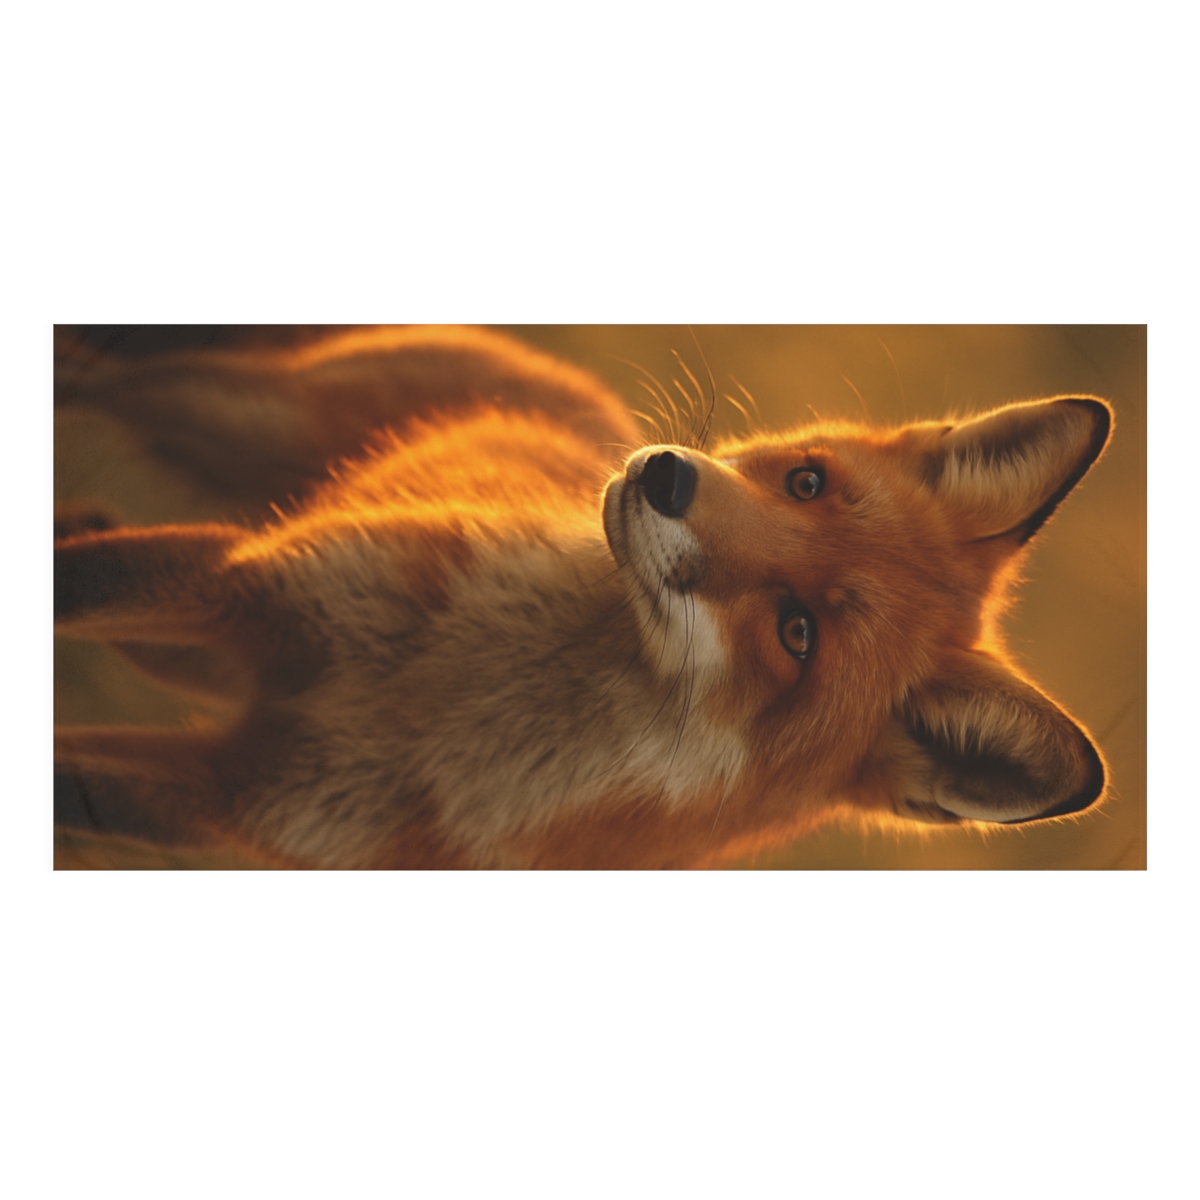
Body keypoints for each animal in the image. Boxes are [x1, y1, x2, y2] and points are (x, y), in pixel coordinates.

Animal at [53, 325, 1112, 868]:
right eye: (807, 482)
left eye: (797, 633)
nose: (663, 478)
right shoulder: (251, 583)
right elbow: (76, 580)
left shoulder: (238, 807)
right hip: (227, 415)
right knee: (105, 379)